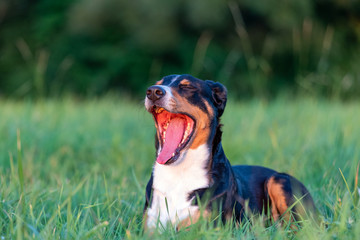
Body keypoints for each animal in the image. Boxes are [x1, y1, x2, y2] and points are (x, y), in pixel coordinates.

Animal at [142, 74, 316, 231]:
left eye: (187, 87)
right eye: (158, 83)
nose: (153, 91)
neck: (179, 173)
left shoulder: (204, 228)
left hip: (278, 181)